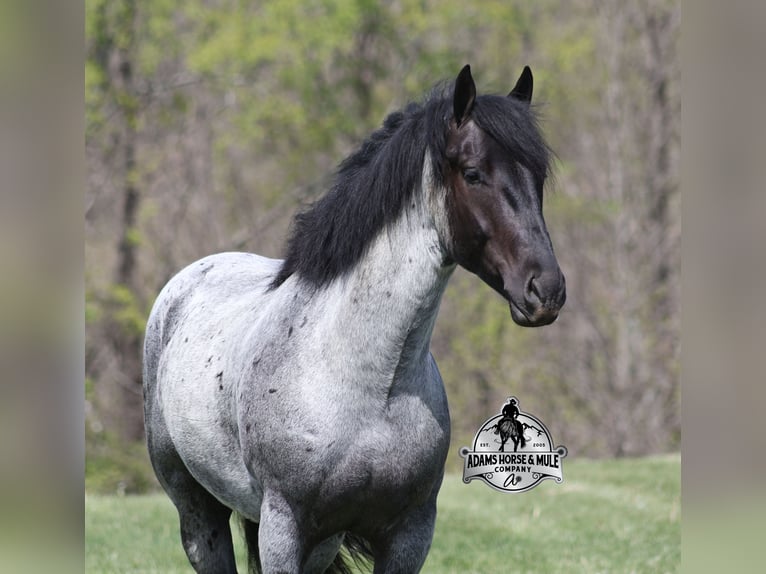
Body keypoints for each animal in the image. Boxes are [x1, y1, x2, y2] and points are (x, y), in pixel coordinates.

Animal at [143, 64, 566, 574]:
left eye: (537, 178)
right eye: (473, 173)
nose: (546, 291)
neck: (368, 386)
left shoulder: (409, 534)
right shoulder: (284, 528)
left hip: (322, 544)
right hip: (198, 514)